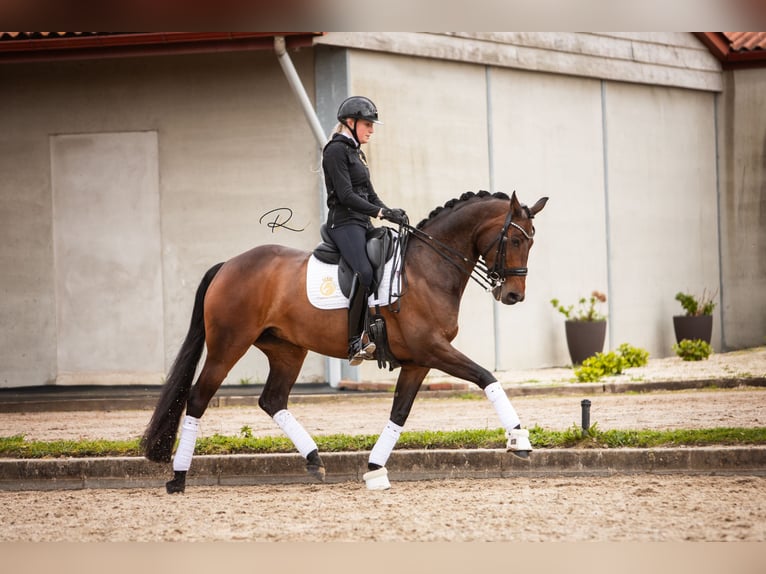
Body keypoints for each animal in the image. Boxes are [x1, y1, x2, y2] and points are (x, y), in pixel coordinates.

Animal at [142, 190, 544, 496]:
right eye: (514, 239)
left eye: (531, 240)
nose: (514, 295)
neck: (427, 268)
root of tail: (228, 265)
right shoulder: (433, 349)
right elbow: (487, 377)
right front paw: (519, 441)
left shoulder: (419, 361)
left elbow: (399, 413)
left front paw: (375, 469)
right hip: (229, 345)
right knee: (198, 398)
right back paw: (178, 478)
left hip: (287, 350)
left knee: (272, 399)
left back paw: (314, 460)